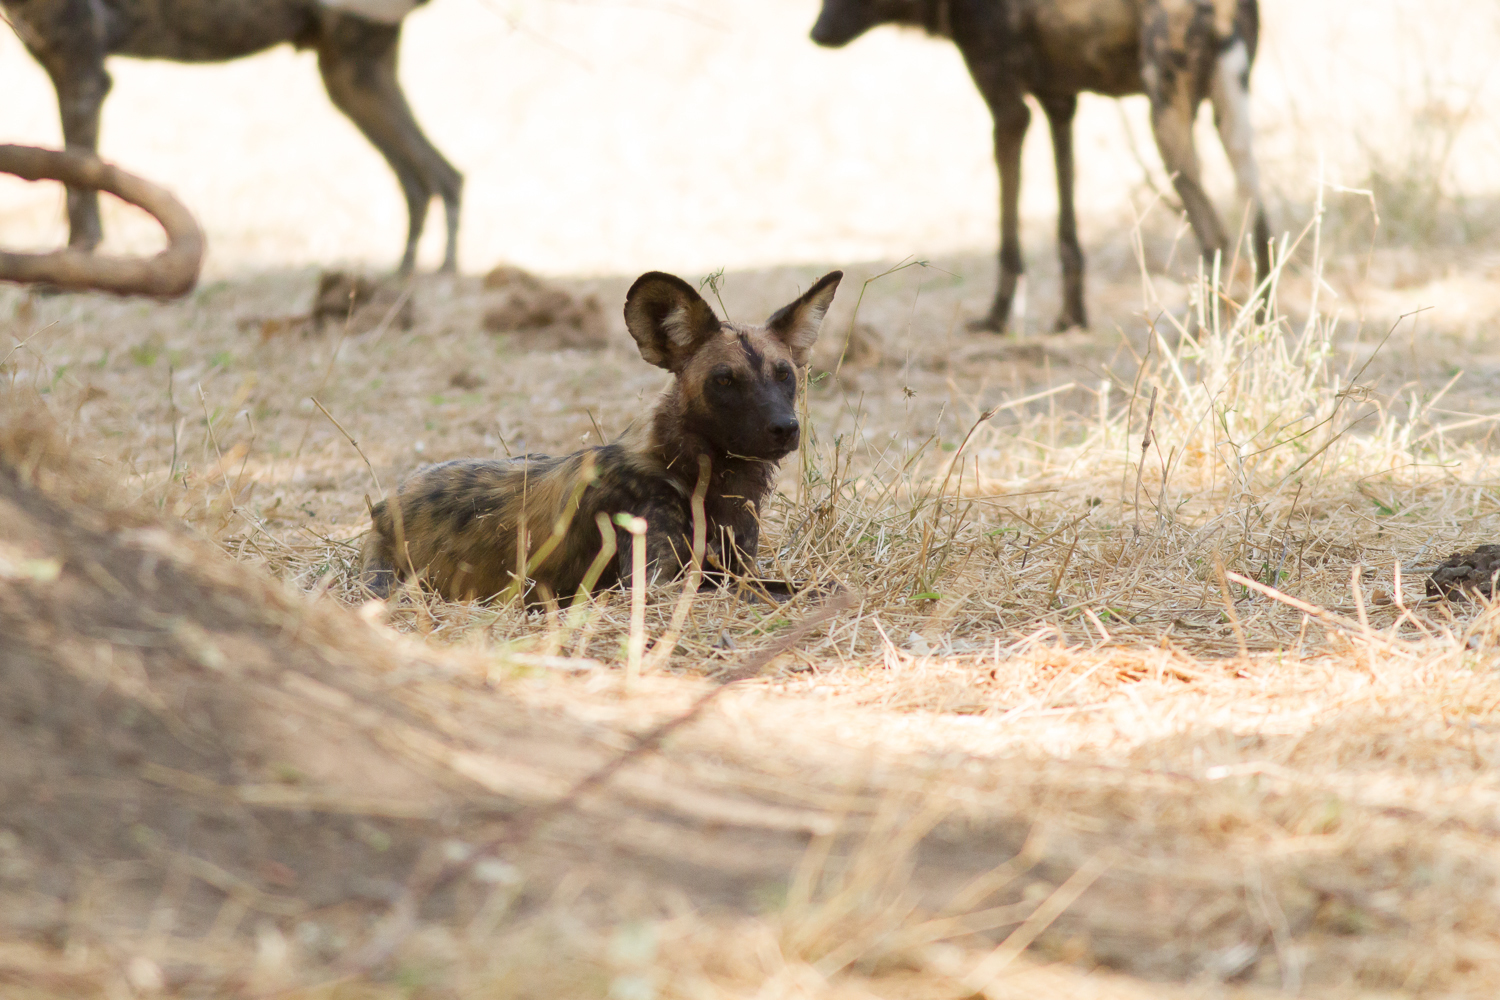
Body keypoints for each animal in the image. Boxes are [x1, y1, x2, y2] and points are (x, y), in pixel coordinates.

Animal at [357, 265, 840, 605]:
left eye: (784, 374)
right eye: (724, 380)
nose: (784, 428)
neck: (702, 473)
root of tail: (386, 503)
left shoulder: (740, 570)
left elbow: (814, 585)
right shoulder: (656, 586)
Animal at [816, 0, 1272, 335]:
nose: (816, 33)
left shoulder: (1009, 112)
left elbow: (1008, 234)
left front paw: (998, 317)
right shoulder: (1060, 104)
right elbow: (1067, 232)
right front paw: (1071, 318)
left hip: (1166, 122)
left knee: (1217, 238)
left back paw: (1211, 331)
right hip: (1231, 120)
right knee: (1259, 227)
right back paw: (1259, 324)